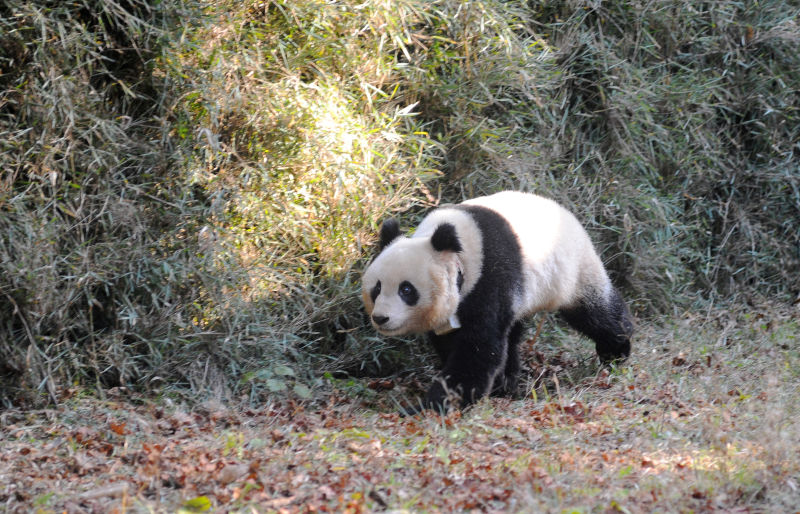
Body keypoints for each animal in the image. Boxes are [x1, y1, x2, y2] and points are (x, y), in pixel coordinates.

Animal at [360, 191, 632, 412]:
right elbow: (454, 341)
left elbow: (479, 346)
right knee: (513, 332)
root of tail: (563, 210)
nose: (381, 318)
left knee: (594, 311)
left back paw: (617, 348)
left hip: (573, 269)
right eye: (377, 288)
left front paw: (431, 406)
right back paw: (507, 381)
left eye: (406, 289)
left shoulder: (490, 276)